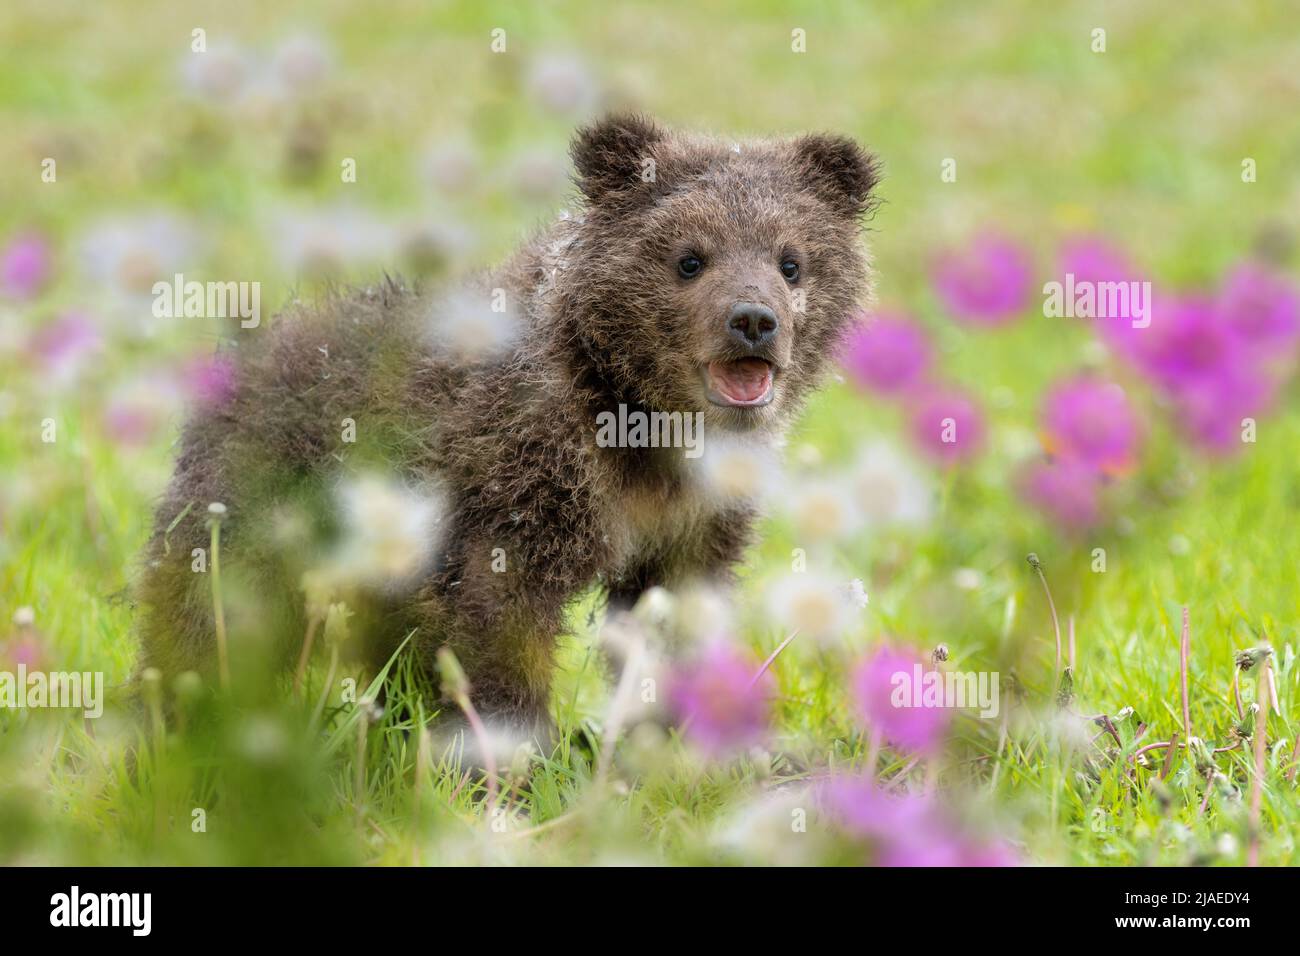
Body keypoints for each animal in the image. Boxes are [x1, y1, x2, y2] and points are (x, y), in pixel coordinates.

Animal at [133, 113, 880, 749]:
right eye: (690, 258)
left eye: (791, 260)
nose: (753, 320)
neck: (645, 423)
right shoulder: (519, 476)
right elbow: (500, 617)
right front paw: (514, 752)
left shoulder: (693, 517)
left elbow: (673, 617)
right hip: (260, 503)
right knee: (210, 615)